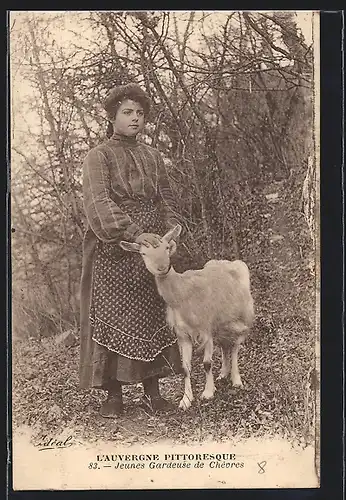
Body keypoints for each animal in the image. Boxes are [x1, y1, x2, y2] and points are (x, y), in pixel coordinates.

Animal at [119, 226, 254, 410]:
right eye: (143, 253)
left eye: (166, 248)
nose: (162, 268)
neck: (183, 292)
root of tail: (230, 262)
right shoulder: (182, 334)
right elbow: (185, 367)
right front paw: (186, 400)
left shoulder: (206, 328)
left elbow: (207, 363)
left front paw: (208, 393)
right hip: (221, 325)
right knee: (225, 346)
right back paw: (223, 374)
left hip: (243, 319)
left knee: (235, 347)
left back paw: (236, 379)